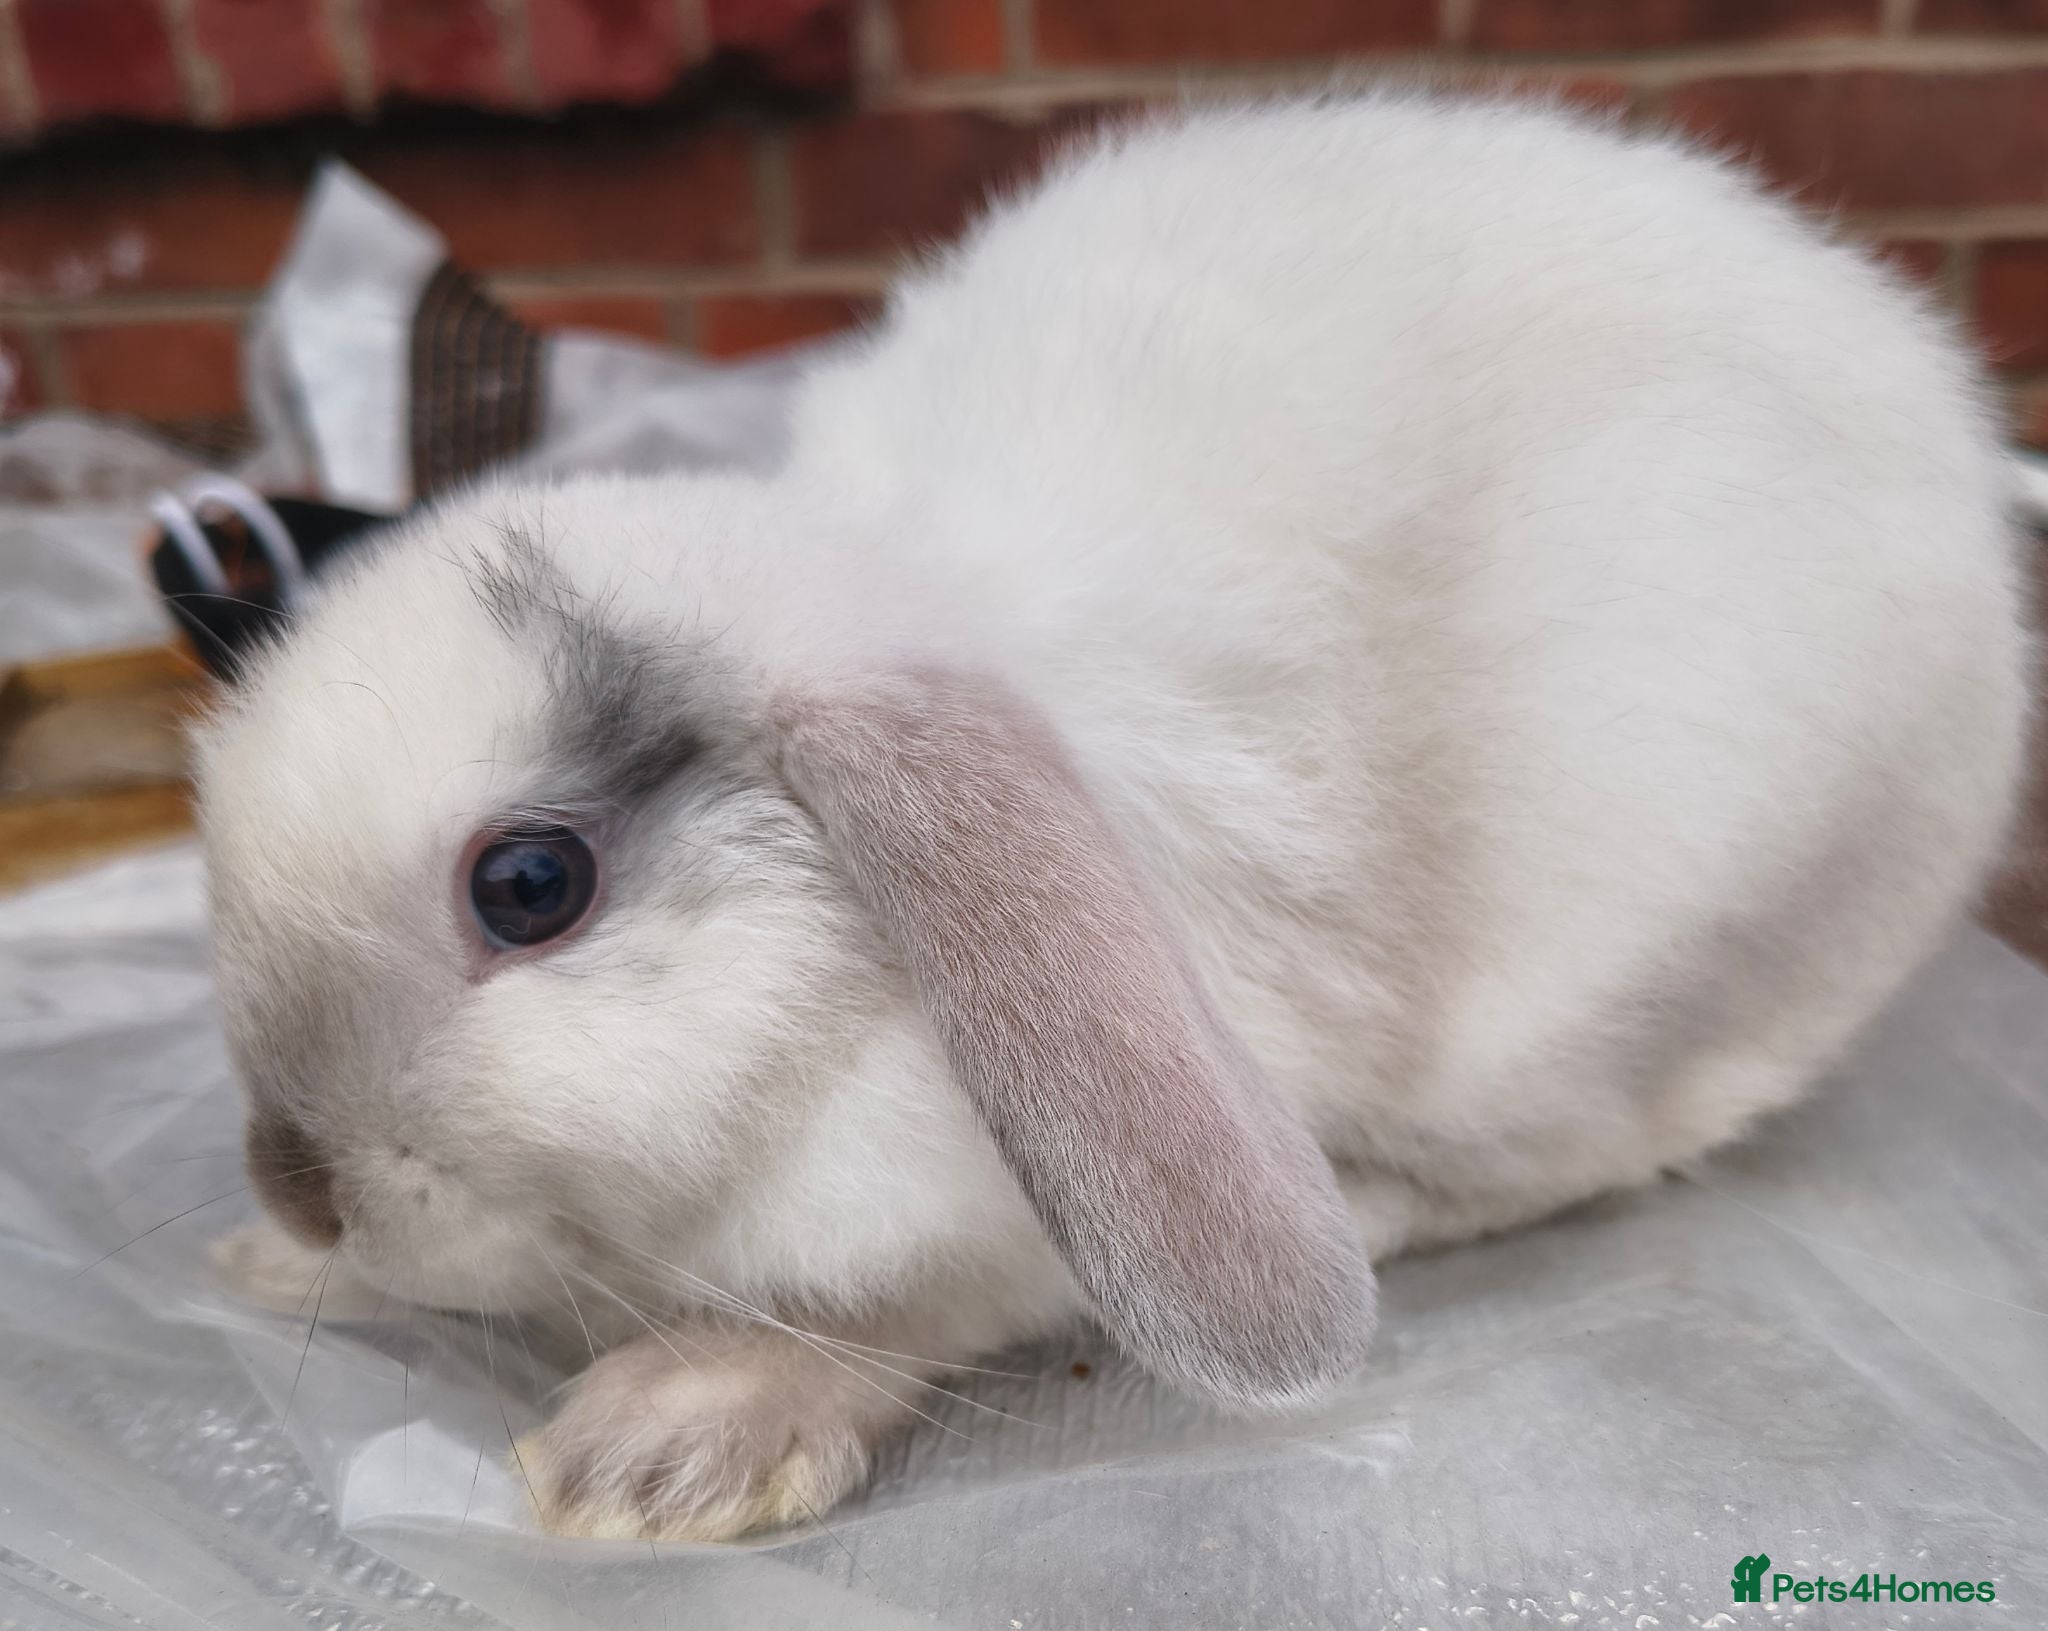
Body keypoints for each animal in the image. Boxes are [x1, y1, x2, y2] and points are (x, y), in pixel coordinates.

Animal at [195, 90, 2030, 1542]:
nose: (298, 1181)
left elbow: (895, 1312)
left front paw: (666, 1442)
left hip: (1611, 1003)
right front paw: (268, 1268)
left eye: (529, 883)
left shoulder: (1001, 1233)